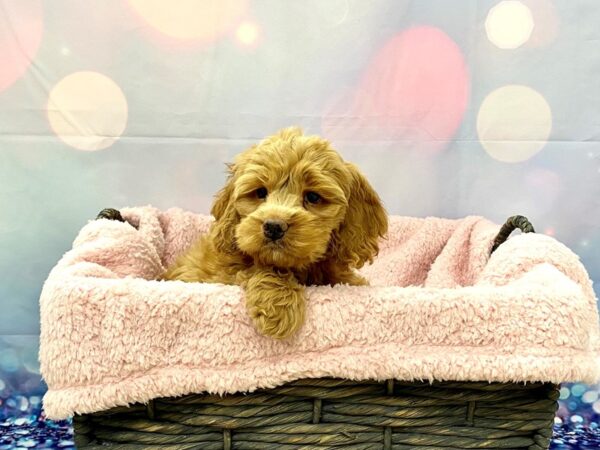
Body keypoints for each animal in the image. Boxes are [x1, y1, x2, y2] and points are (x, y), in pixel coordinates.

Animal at [165, 126, 390, 338]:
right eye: (260, 192)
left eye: (313, 197)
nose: (274, 227)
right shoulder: (222, 274)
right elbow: (261, 268)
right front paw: (278, 308)